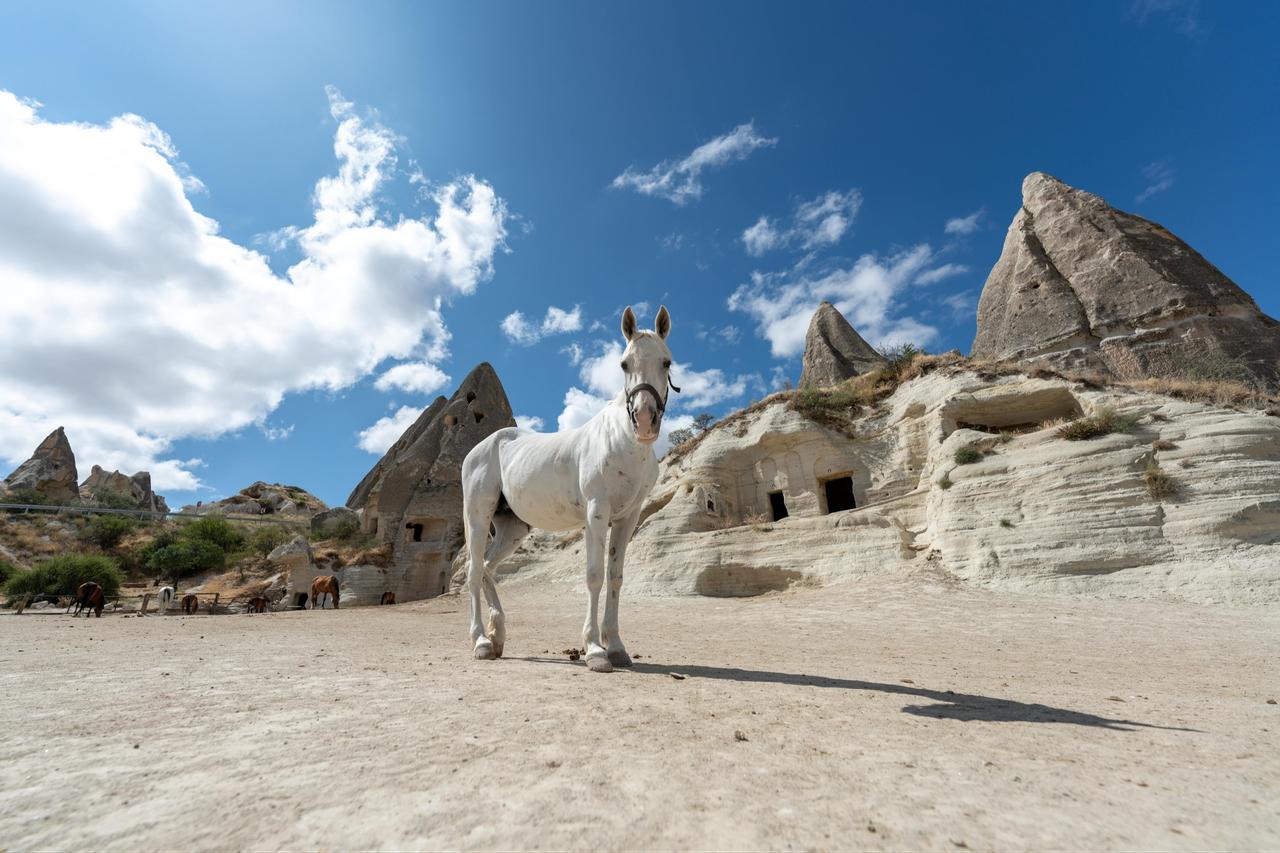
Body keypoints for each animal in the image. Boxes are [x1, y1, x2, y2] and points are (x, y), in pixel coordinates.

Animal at [460, 305, 676, 672]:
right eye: (623, 364)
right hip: (477, 516)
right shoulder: (596, 512)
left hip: (512, 528)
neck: (621, 442)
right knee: (475, 571)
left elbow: (616, 577)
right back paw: (481, 642)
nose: (645, 420)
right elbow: (594, 575)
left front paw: (616, 647)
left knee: (489, 568)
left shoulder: (627, 518)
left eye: (666, 362)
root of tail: (480, 448)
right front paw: (595, 650)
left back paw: (498, 635)